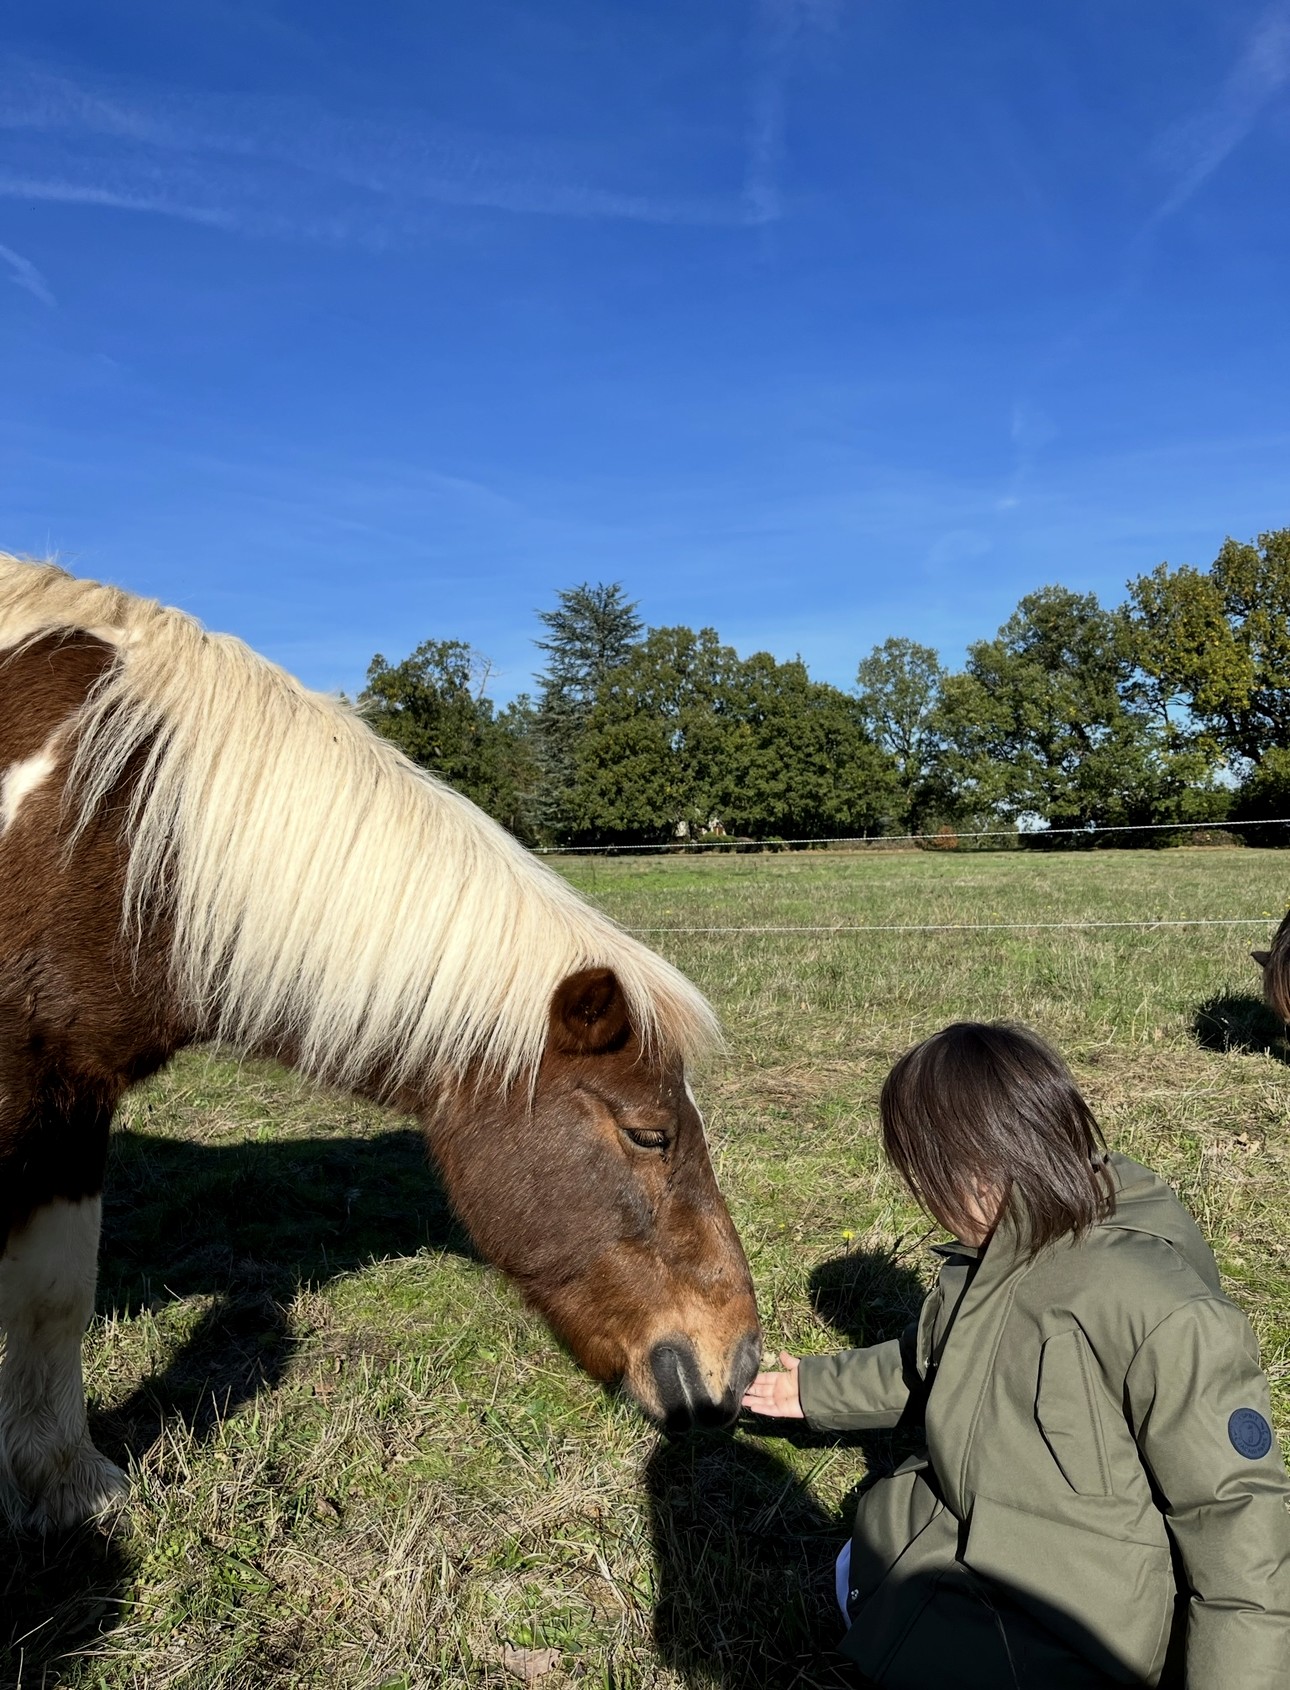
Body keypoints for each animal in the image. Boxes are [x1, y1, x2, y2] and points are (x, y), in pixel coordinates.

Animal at [0, 554, 761, 1532]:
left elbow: (55, 1292)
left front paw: (65, 1483)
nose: (740, 1362)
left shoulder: (70, 1095)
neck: (111, 824)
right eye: (649, 1134)